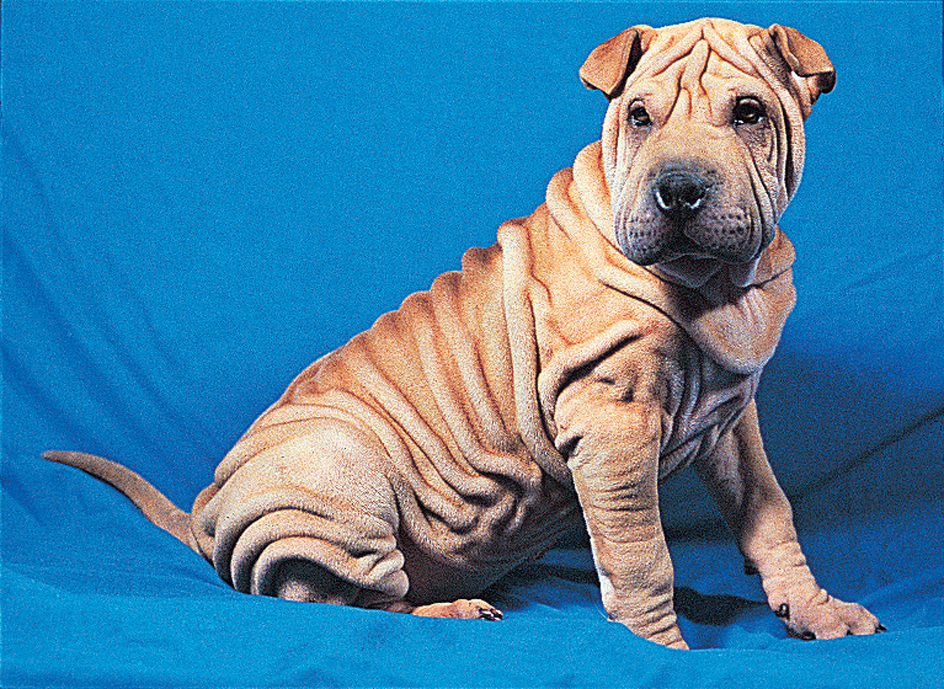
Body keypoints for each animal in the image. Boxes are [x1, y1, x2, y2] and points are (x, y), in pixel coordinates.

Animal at [44, 17, 884, 652]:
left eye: (749, 113)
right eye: (639, 117)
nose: (678, 189)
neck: (717, 285)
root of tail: (207, 507)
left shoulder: (732, 420)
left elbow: (771, 516)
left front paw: (816, 609)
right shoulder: (610, 428)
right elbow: (641, 553)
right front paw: (662, 649)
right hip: (338, 470)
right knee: (332, 598)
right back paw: (444, 609)